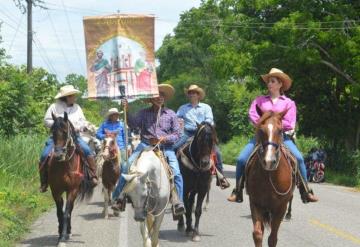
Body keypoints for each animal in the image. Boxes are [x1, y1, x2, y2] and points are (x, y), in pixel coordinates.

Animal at [49, 113, 94, 246]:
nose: (58, 155)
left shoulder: (72, 190)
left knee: (70, 210)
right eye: (53, 132)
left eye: (65, 132)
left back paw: (68, 231)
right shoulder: (55, 190)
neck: (65, 165)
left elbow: (67, 212)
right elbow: (60, 212)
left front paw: (63, 237)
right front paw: (60, 234)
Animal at [246, 108, 296, 247]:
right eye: (261, 130)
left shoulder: (280, 207)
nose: (269, 161)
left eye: (280, 130)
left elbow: (273, 238)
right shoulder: (255, 203)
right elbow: (258, 234)